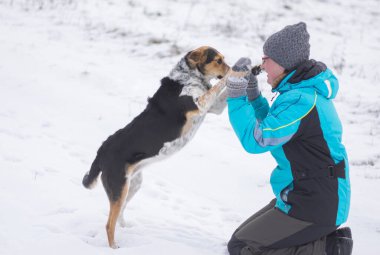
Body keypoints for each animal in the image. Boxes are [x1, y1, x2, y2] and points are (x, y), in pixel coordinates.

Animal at [83, 45, 238, 247]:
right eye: (218, 61)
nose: (229, 68)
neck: (189, 76)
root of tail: (101, 151)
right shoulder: (200, 103)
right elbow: (220, 85)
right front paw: (240, 70)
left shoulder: (214, 107)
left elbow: (222, 91)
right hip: (119, 188)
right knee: (109, 224)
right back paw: (115, 247)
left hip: (132, 185)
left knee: (118, 215)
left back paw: (125, 227)